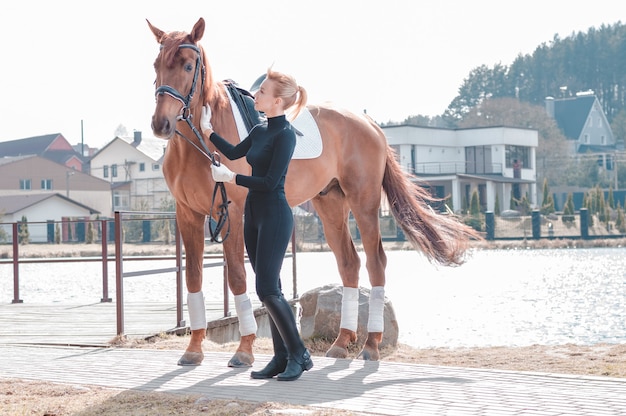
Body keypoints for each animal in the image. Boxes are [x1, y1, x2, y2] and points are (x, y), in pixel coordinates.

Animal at [146, 17, 478, 368]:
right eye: (156, 64)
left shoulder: (232, 212)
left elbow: (236, 277)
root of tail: (369, 123)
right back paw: (341, 343)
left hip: (364, 202)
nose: (161, 124)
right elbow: (193, 278)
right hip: (330, 203)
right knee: (349, 263)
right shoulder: (187, 214)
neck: (198, 144)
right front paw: (193, 348)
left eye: (188, 65)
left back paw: (370, 345)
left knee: (375, 263)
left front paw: (244, 350)